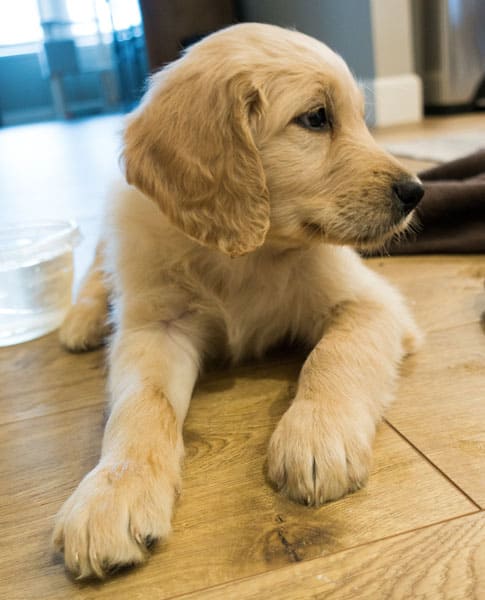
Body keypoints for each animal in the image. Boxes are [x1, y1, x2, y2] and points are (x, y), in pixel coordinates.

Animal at [54, 22, 424, 576]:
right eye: (316, 118)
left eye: (363, 117)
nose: (416, 191)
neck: (248, 254)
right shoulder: (155, 327)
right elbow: (143, 403)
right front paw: (112, 490)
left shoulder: (370, 302)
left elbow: (334, 354)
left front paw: (318, 433)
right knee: (97, 273)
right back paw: (82, 322)